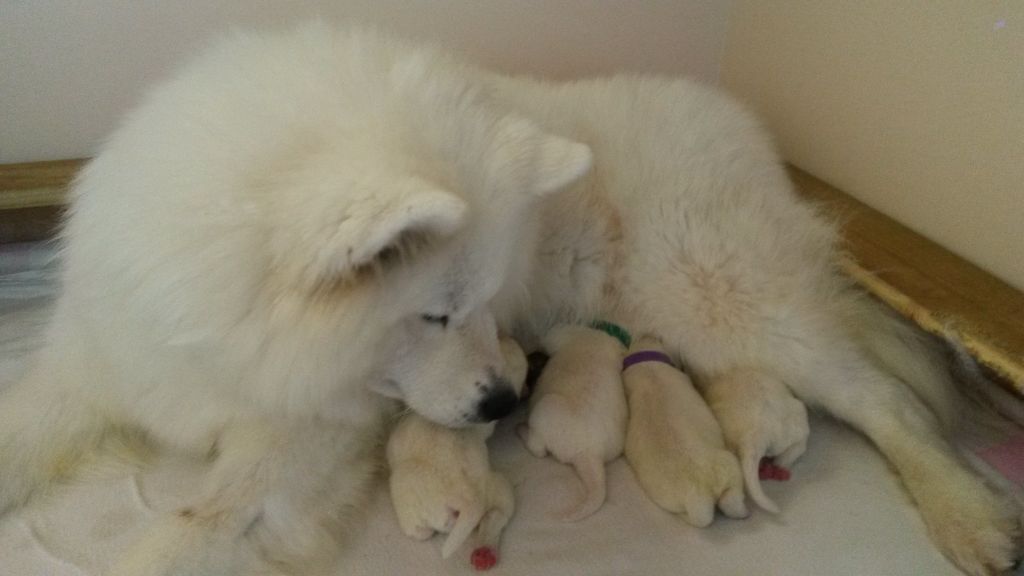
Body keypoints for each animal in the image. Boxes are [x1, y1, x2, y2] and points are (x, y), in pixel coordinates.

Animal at [385, 334, 528, 561]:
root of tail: (466, 499)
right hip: (496, 486)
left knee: (419, 532)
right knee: (498, 513)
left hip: (407, 497)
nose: (509, 336)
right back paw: (485, 551)